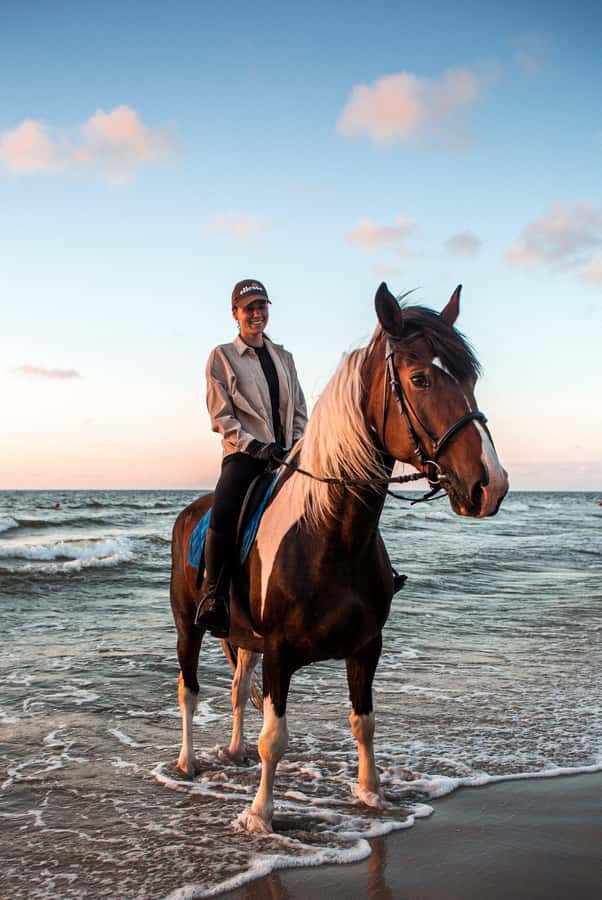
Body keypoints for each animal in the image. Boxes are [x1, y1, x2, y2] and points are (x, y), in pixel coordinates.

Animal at [169, 282, 508, 832]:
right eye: (419, 378)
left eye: (471, 378)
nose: (490, 486)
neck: (330, 535)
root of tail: (190, 512)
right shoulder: (279, 652)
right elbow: (275, 738)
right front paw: (260, 815)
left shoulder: (366, 646)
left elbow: (363, 723)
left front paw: (372, 794)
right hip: (188, 627)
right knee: (189, 690)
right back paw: (187, 761)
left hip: (243, 637)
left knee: (238, 688)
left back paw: (234, 751)